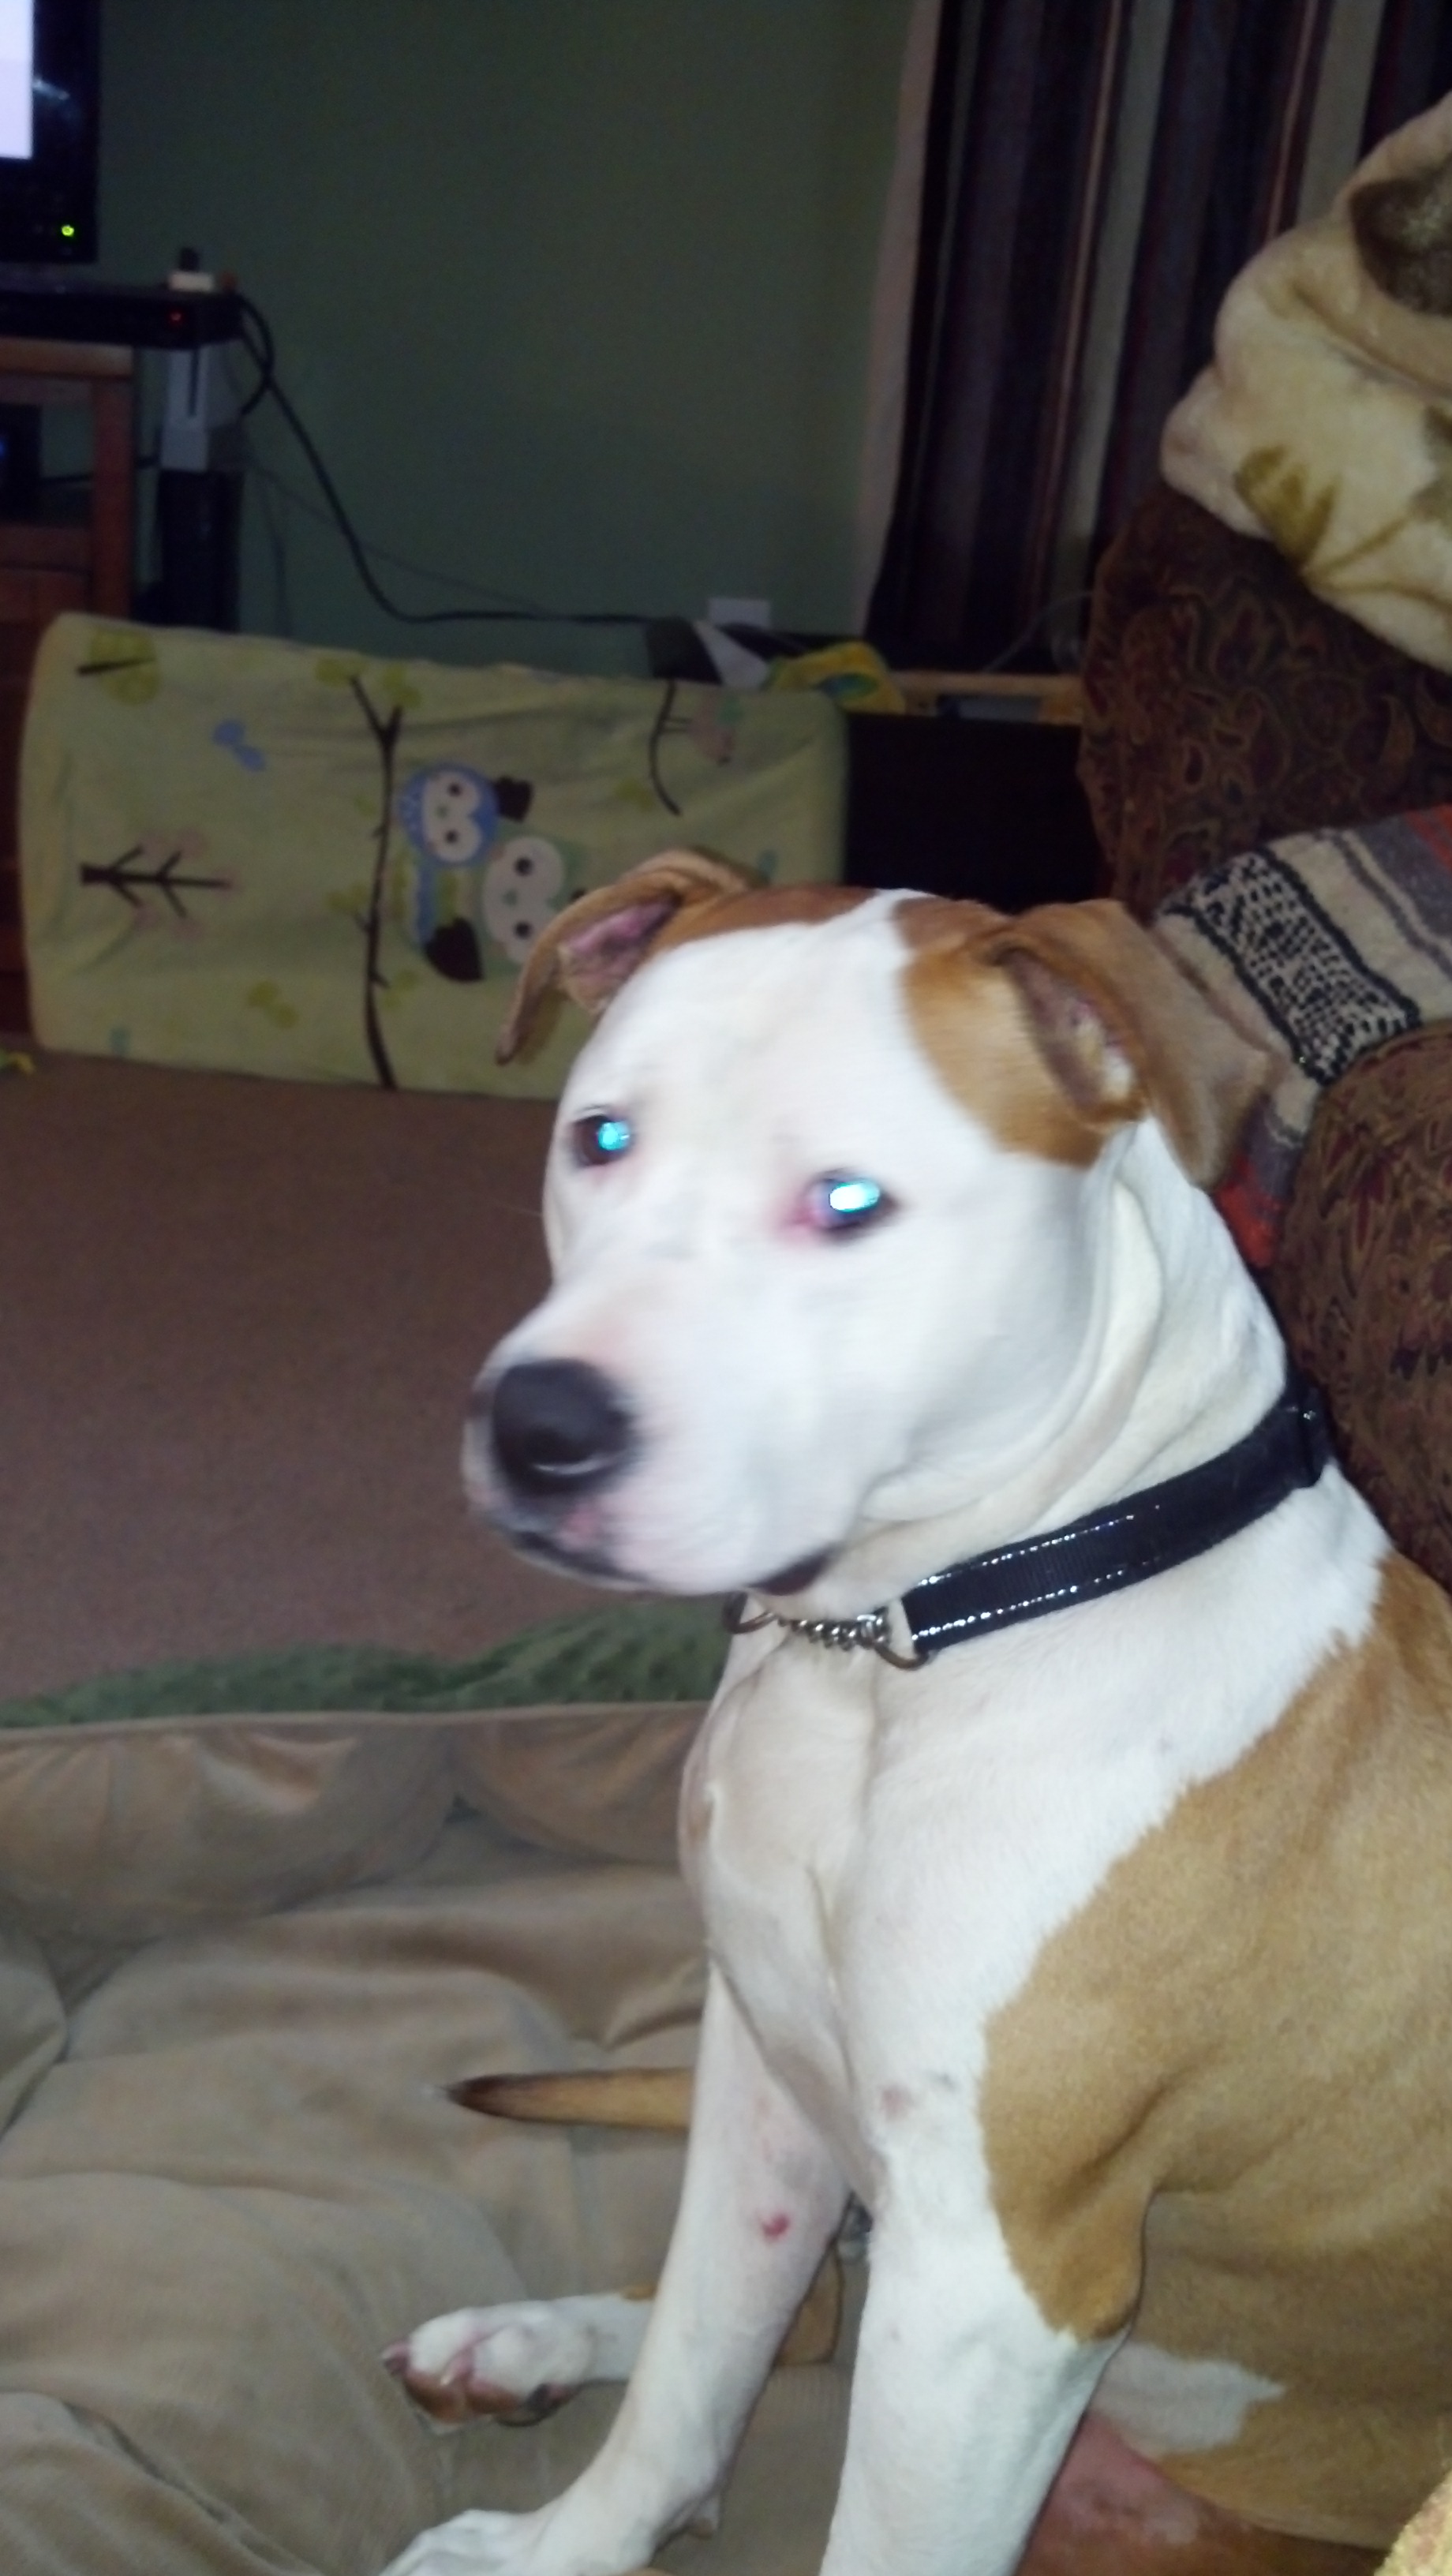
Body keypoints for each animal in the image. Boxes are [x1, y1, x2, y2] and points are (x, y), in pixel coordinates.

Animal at [382, 855, 1452, 2576]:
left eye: (847, 1203)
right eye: (599, 1139)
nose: (536, 1429)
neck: (895, 1641)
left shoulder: (990, 2280)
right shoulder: (761, 2078)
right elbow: (695, 2370)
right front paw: (561, 2547)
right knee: (792, 2320)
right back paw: (529, 2341)